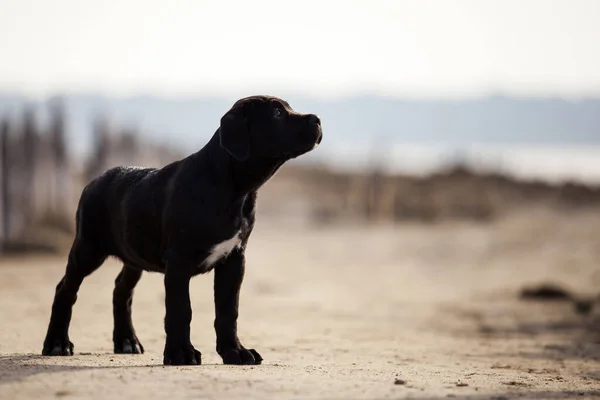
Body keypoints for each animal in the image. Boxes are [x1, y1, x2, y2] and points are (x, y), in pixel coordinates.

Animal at [41, 95, 324, 364]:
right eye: (276, 113)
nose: (317, 119)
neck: (236, 190)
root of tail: (95, 180)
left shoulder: (233, 260)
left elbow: (228, 310)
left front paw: (234, 352)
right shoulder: (178, 260)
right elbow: (180, 309)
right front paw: (180, 353)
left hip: (133, 255)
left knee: (121, 290)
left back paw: (126, 341)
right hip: (88, 249)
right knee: (65, 290)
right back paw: (57, 343)